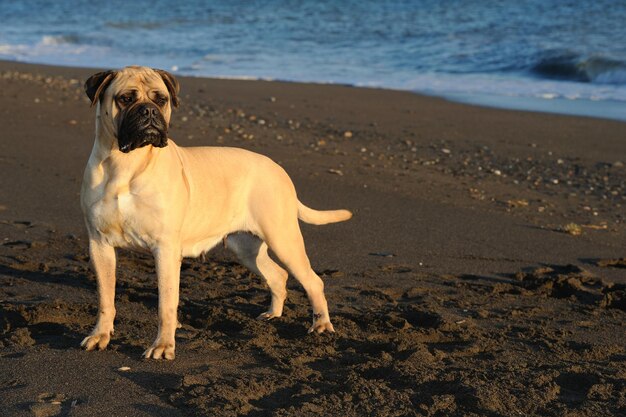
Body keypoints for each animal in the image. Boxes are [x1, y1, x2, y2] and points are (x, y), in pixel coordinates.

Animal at [78, 65, 352, 358]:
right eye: (125, 99)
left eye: (161, 99)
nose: (149, 111)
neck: (125, 164)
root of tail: (279, 170)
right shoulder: (100, 245)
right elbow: (105, 298)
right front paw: (100, 335)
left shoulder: (165, 248)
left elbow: (166, 304)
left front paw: (163, 345)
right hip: (245, 247)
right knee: (278, 275)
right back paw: (273, 314)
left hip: (283, 239)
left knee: (313, 281)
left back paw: (321, 324)